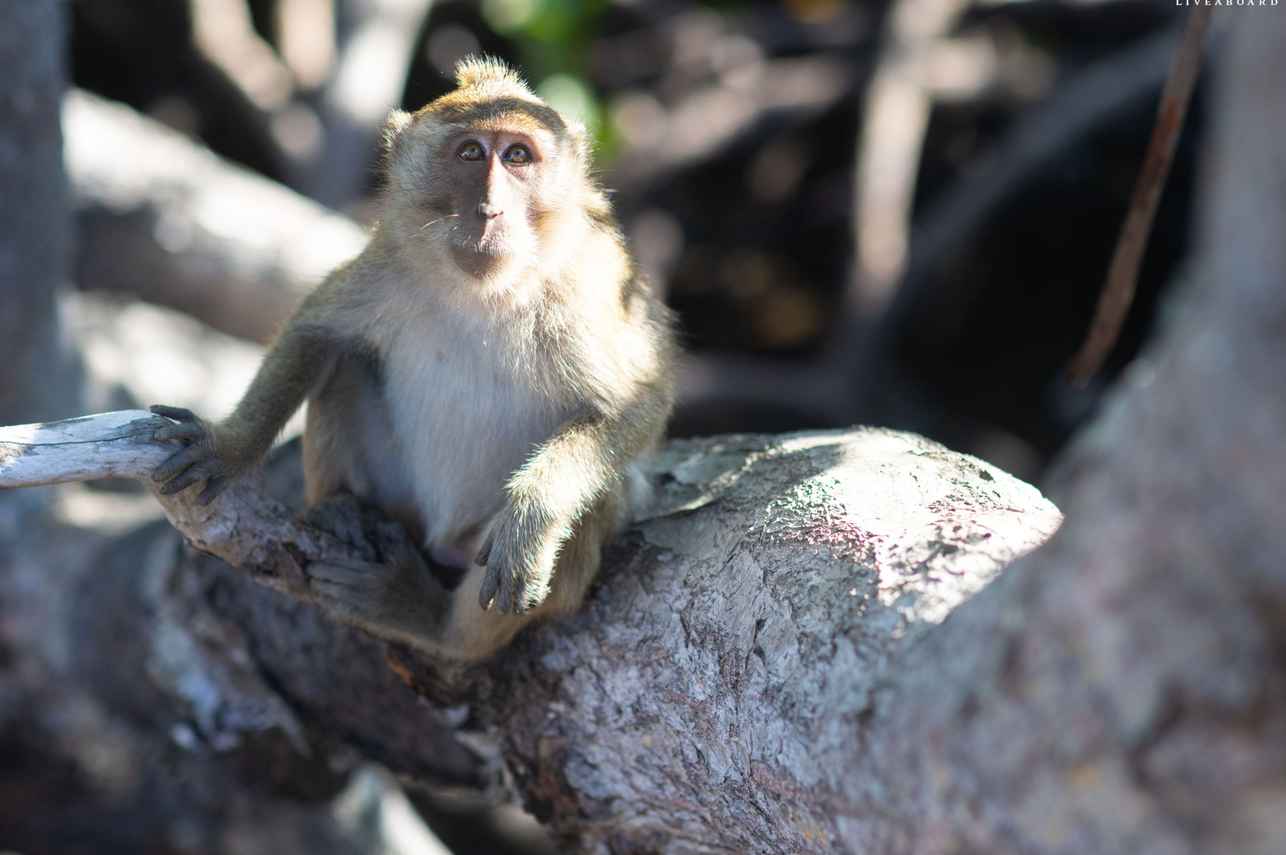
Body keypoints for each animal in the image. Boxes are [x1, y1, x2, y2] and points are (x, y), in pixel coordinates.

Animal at [149, 56, 676, 662]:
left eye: (518, 157)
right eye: (470, 153)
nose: (490, 210)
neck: (487, 289)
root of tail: (441, 541)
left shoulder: (588, 286)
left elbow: (635, 403)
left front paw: (531, 516)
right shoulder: (390, 259)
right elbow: (317, 329)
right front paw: (228, 447)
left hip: (474, 547)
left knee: (594, 497)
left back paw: (429, 622)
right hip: (405, 501)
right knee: (347, 366)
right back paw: (344, 508)